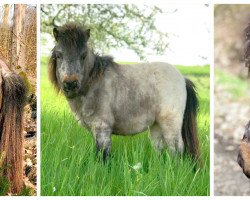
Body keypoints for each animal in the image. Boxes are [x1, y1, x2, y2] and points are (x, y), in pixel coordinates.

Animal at [48, 23, 201, 163]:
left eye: (83, 55)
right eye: (59, 55)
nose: (70, 83)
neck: (92, 83)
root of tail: (182, 79)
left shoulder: (102, 128)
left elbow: (103, 156)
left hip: (171, 125)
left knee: (176, 150)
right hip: (156, 126)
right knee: (160, 150)